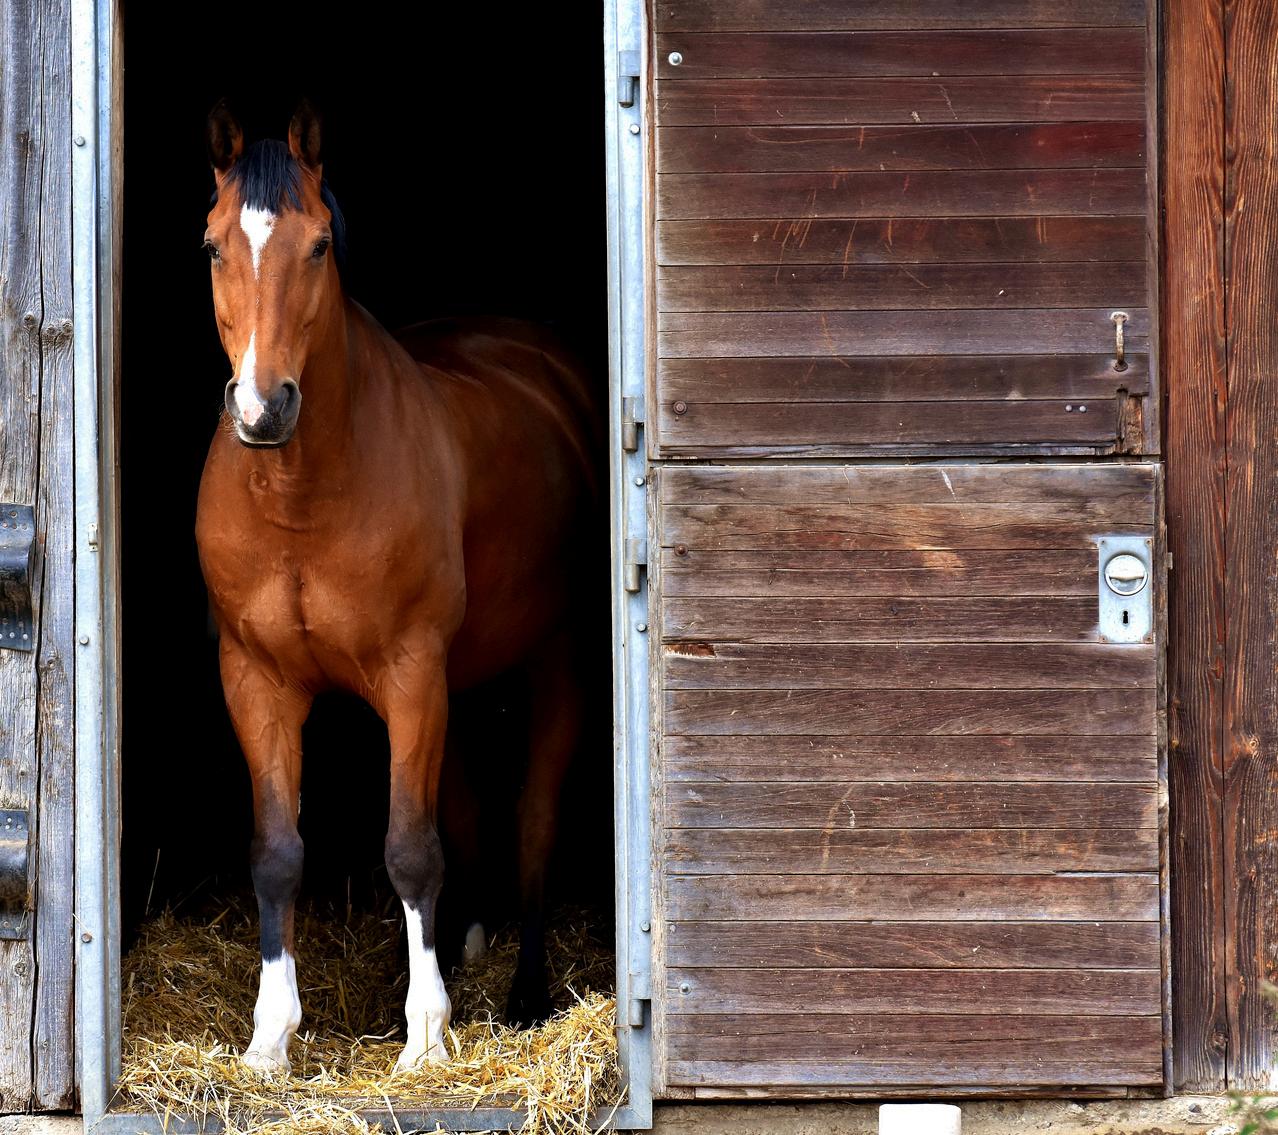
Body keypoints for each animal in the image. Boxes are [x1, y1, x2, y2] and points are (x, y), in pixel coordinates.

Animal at [193, 101, 601, 1074]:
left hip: (555, 662)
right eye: (214, 244)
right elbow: (277, 851)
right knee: (472, 809)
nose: (263, 408)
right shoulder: (256, 680)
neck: (302, 496)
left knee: (533, 817)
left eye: (318, 245)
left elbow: (412, 848)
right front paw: (270, 1036)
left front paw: (425, 1035)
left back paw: (525, 993)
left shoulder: (412, 674)